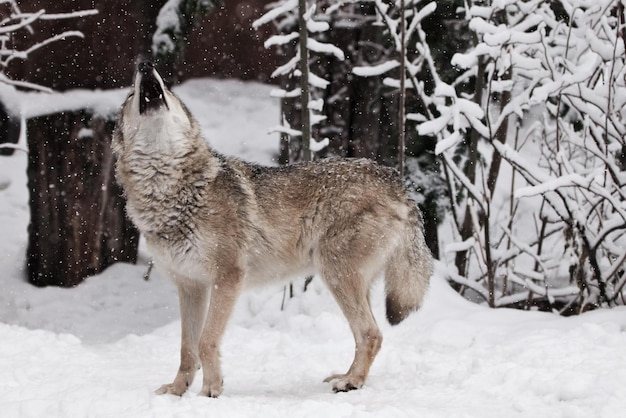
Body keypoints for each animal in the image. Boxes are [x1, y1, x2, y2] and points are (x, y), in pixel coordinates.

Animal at [112, 60, 432, 396]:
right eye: (132, 94)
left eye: (168, 90)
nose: (146, 64)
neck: (171, 192)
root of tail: (396, 181)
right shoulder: (190, 287)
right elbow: (187, 348)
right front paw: (177, 391)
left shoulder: (227, 278)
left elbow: (206, 342)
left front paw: (210, 391)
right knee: (367, 334)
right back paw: (345, 375)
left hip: (335, 274)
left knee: (371, 333)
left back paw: (351, 382)